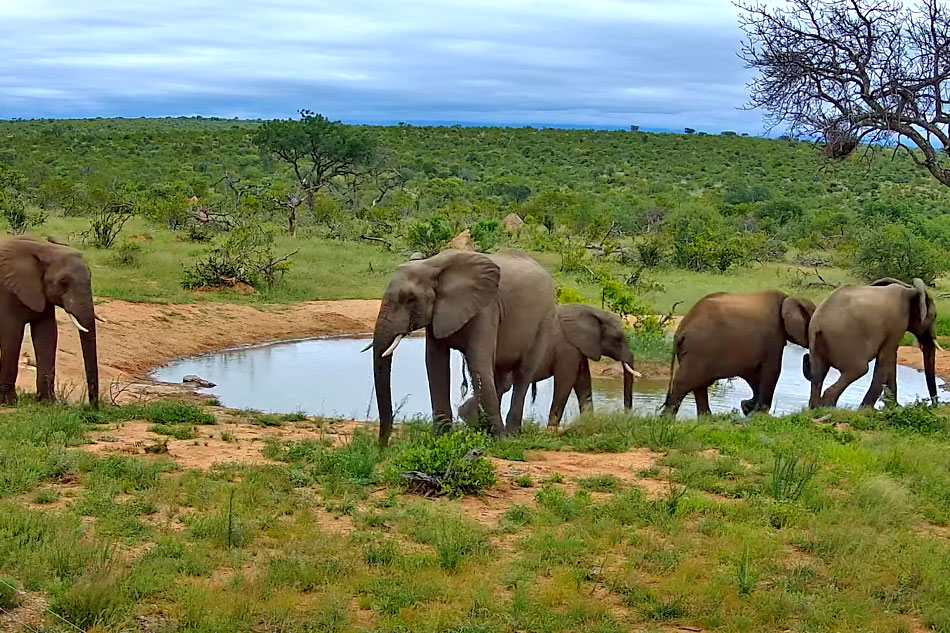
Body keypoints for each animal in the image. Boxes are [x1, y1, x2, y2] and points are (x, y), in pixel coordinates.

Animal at [0, 236, 100, 404]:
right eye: (63, 283)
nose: (92, 407)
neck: (44, 248)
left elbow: (47, 335)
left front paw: (48, 402)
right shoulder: (7, 292)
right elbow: (12, 336)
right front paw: (9, 402)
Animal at [368, 247, 556, 444]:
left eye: (410, 299)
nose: (382, 446)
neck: (432, 265)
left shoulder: (486, 308)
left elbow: (478, 365)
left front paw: (499, 441)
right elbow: (435, 364)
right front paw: (441, 438)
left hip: (544, 320)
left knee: (523, 374)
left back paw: (509, 434)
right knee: (500, 378)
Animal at [462, 302, 640, 430]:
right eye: (618, 339)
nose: (627, 417)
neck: (591, 311)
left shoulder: (579, 349)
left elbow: (583, 381)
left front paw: (590, 424)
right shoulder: (567, 349)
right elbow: (566, 381)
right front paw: (551, 429)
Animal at [804, 278, 944, 410]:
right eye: (934, 316)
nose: (933, 405)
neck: (910, 291)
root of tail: (818, 323)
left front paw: (894, 407)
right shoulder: (896, 324)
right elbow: (886, 359)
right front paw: (868, 409)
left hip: (816, 345)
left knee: (818, 375)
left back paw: (815, 408)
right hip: (844, 342)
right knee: (860, 369)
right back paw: (828, 407)